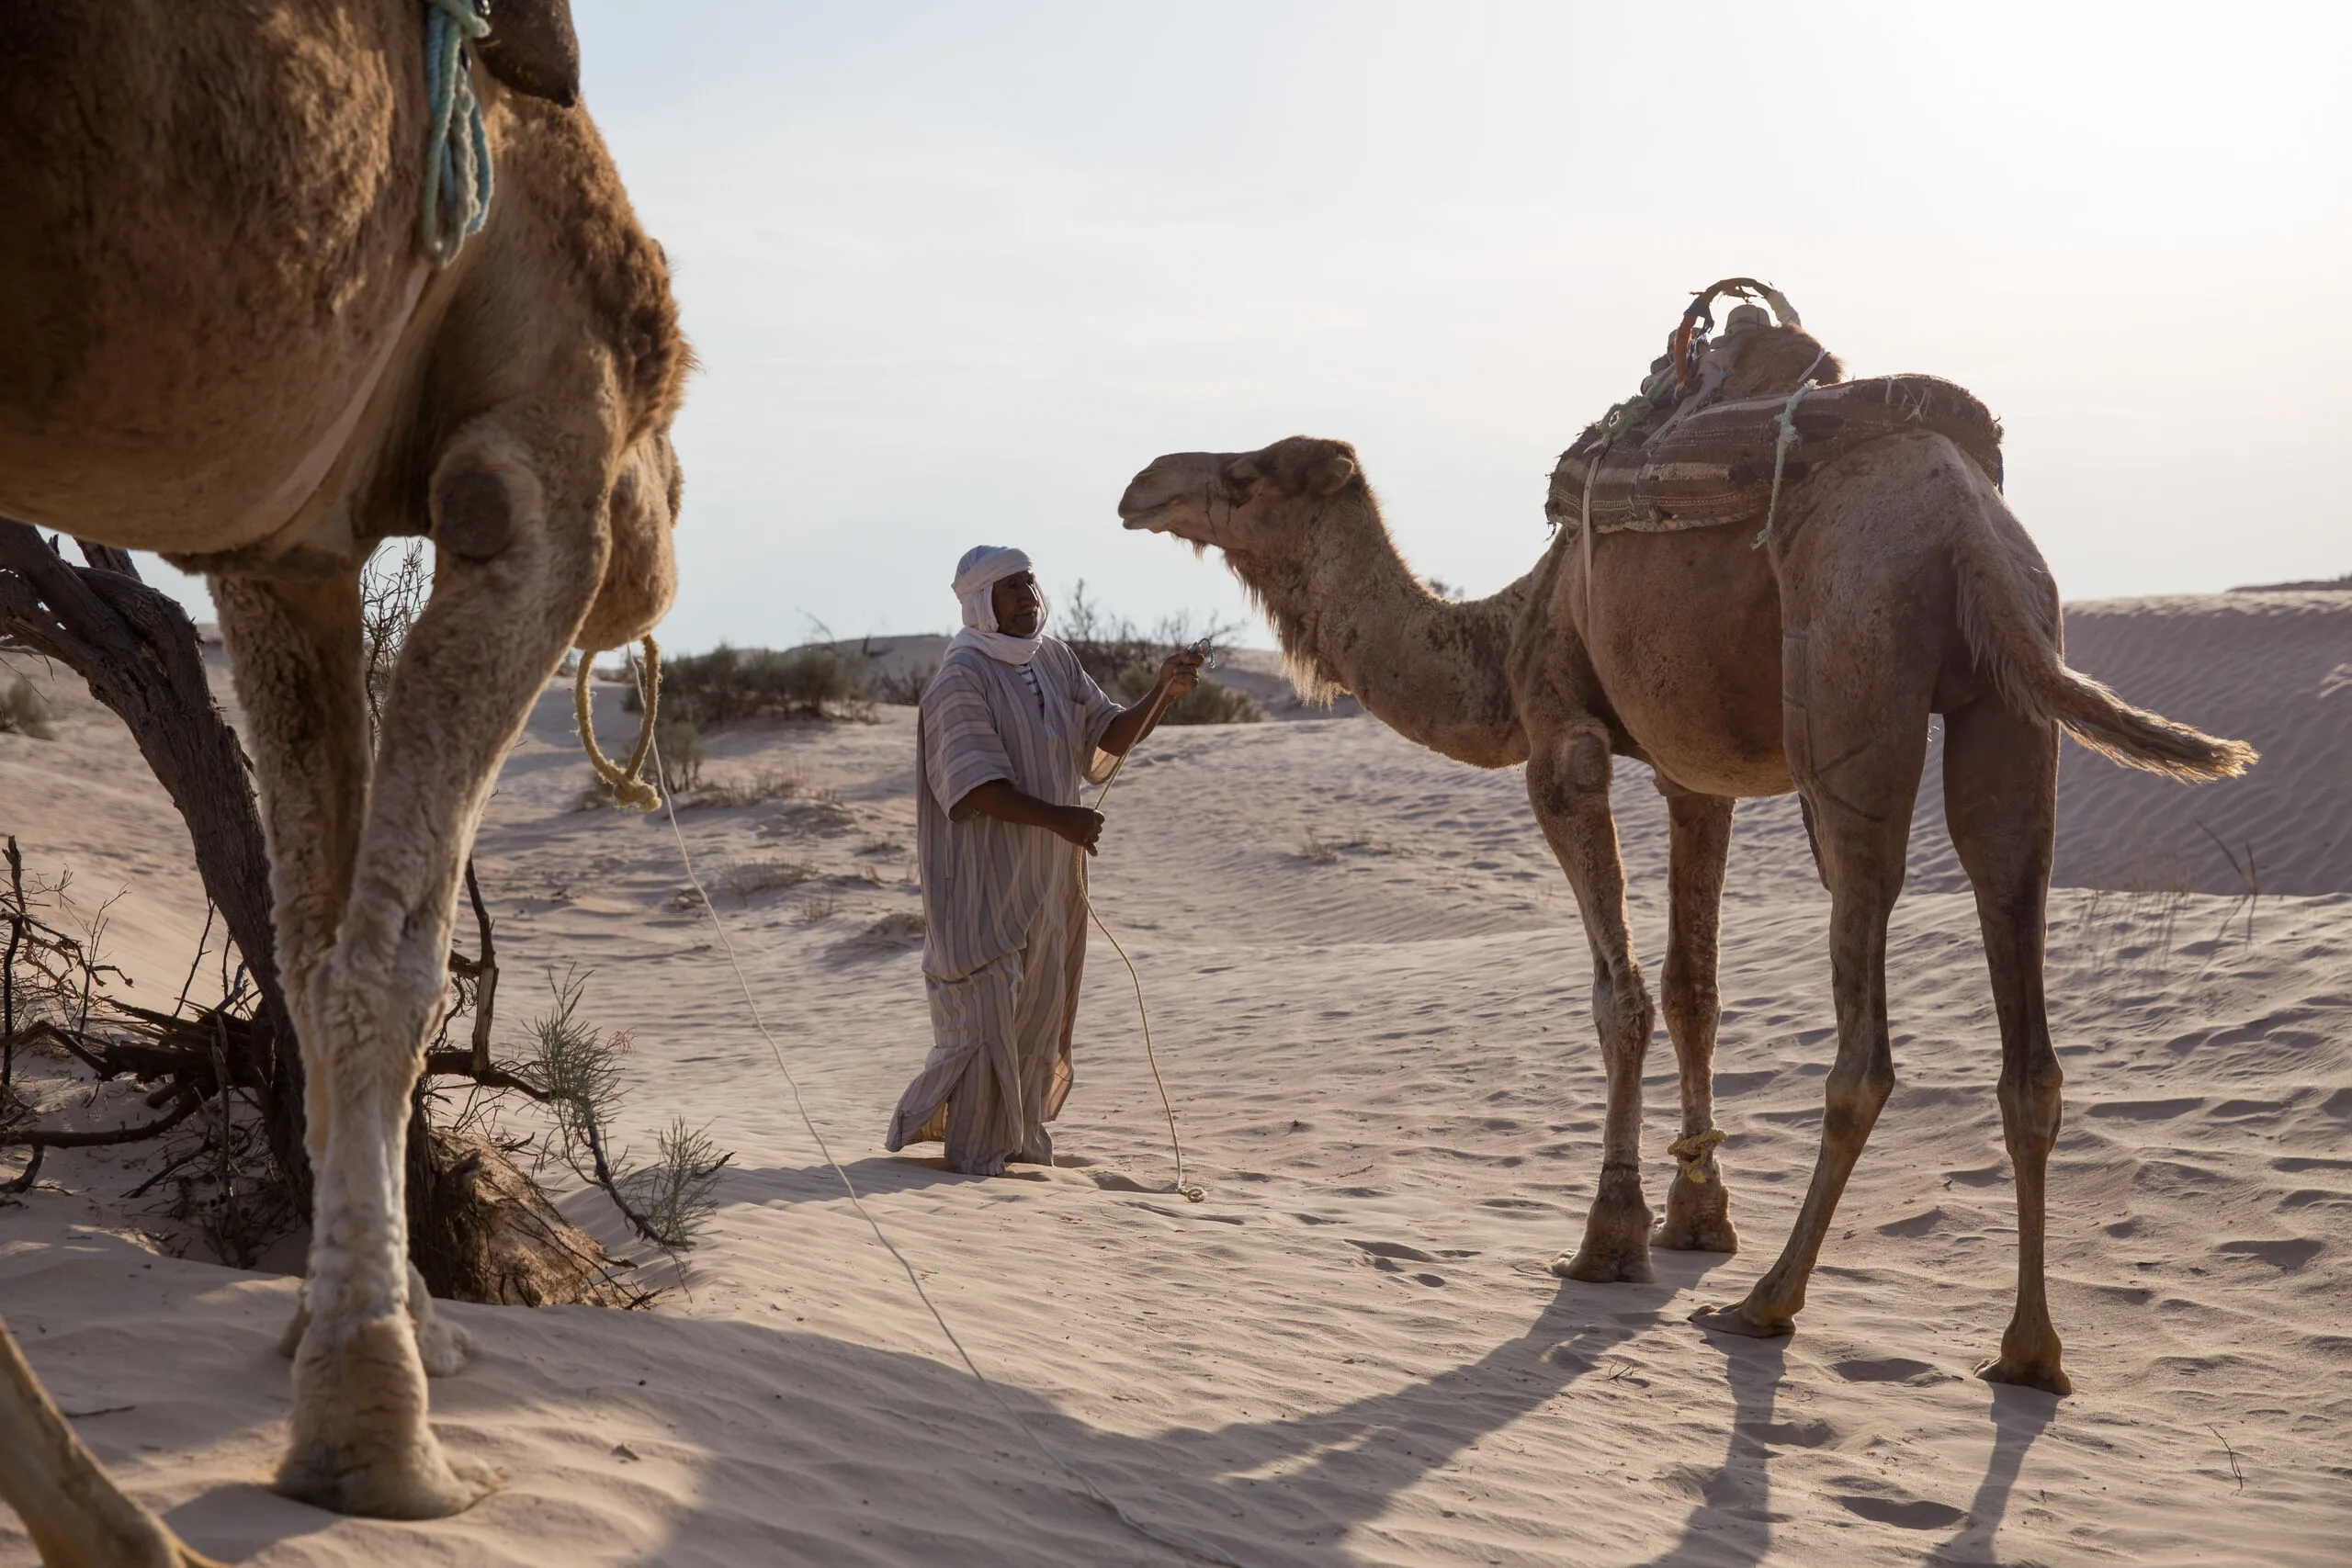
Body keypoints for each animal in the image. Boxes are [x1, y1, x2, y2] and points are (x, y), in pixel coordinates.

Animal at [0, 0, 685, 1550]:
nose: (660, 536)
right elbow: (391, 961)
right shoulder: (534, 469)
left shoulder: (285, 551)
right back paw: (131, 1530)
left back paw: (117, 1523)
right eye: (664, 423)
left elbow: (310, 946)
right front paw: (376, 1432)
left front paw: (390, 1331)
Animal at [1115, 355, 2253, 1394]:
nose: (1140, 487)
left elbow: (1617, 996)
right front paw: (1696, 1217)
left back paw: (1769, 1303)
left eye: (1248, 476)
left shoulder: (1559, 742)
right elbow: (1692, 990)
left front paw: (1611, 1232)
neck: (1507, 625)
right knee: (2018, 966)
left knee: (1864, 1015)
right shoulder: (1691, 775)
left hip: (1855, 661)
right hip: (2012, 680)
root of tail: (1965, 519)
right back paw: (2028, 1352)